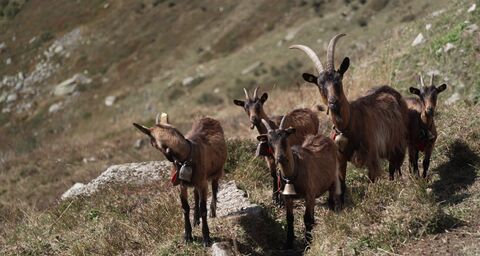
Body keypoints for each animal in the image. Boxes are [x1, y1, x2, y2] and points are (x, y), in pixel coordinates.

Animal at [133, 114, 227, 246]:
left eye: (152, 141)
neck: (186, 157)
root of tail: (207, 117)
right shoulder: (182, 185)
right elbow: (185, 207)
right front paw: (187, 236)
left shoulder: (203, 184)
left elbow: (203, 208)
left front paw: (206, 237)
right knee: (196, 194)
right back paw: (195, 219)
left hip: (217, 172)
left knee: (214, 189)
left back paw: (213, 212)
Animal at [258, 117, 342, 249]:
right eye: (270, 142)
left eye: (285, 138)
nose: (280, 157)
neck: (293, 173)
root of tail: (324, 137)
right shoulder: (288, 197)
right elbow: (289, 218)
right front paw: (289, 242)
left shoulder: (309, 194)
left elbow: (306, 218)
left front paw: (308, 242)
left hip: (333, 179)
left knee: (331, 201)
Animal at [288, 34, 408, 181]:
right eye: (320, 85)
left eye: (338, 80)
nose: (333, 102)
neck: (348, 125)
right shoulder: (340, 160)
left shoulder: (372, 158)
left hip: (399, 143)